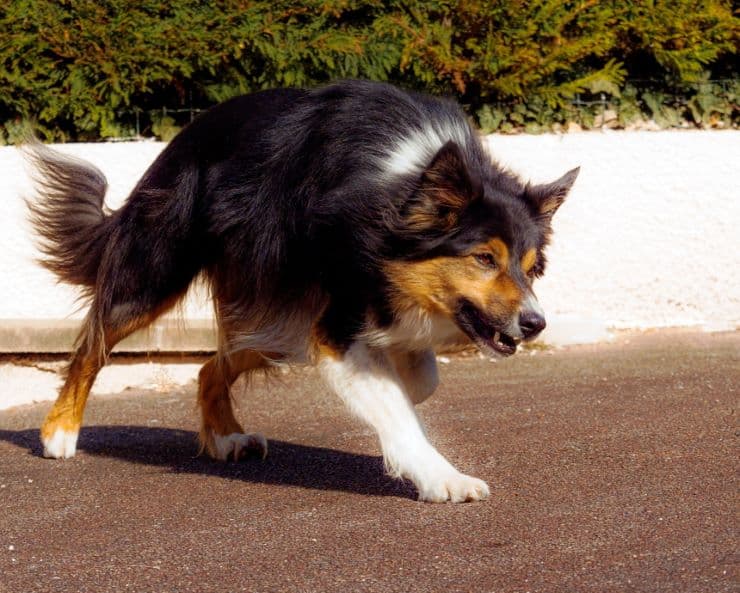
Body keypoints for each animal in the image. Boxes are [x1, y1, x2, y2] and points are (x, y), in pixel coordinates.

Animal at [26, 78, 576, 502]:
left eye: (532, 269)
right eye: (484, 259)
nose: (535, 324)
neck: (399, 192)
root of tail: (182, 137)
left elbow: (419, 380)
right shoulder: (337, 323)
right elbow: (397, 407)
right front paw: (444, 478)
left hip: (277, 317)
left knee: (209, 367)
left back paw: (224, 437)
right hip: (160, 269)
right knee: (93, 344)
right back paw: (60, 432)